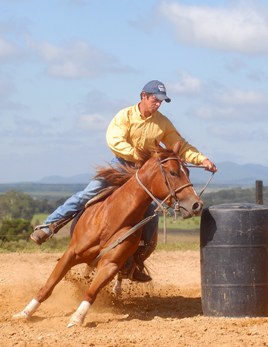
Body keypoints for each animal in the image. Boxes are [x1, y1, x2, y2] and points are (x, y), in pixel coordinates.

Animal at [13, 145, 203, 328]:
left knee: (125, 270)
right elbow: (49, 285)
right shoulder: (71, 253)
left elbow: (92, 291)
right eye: (173, 172)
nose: (197, 205)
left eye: (188, 171)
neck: (111, 219)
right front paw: (25, 313)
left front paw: (76, 318)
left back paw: (119, 285)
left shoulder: (110, 264)